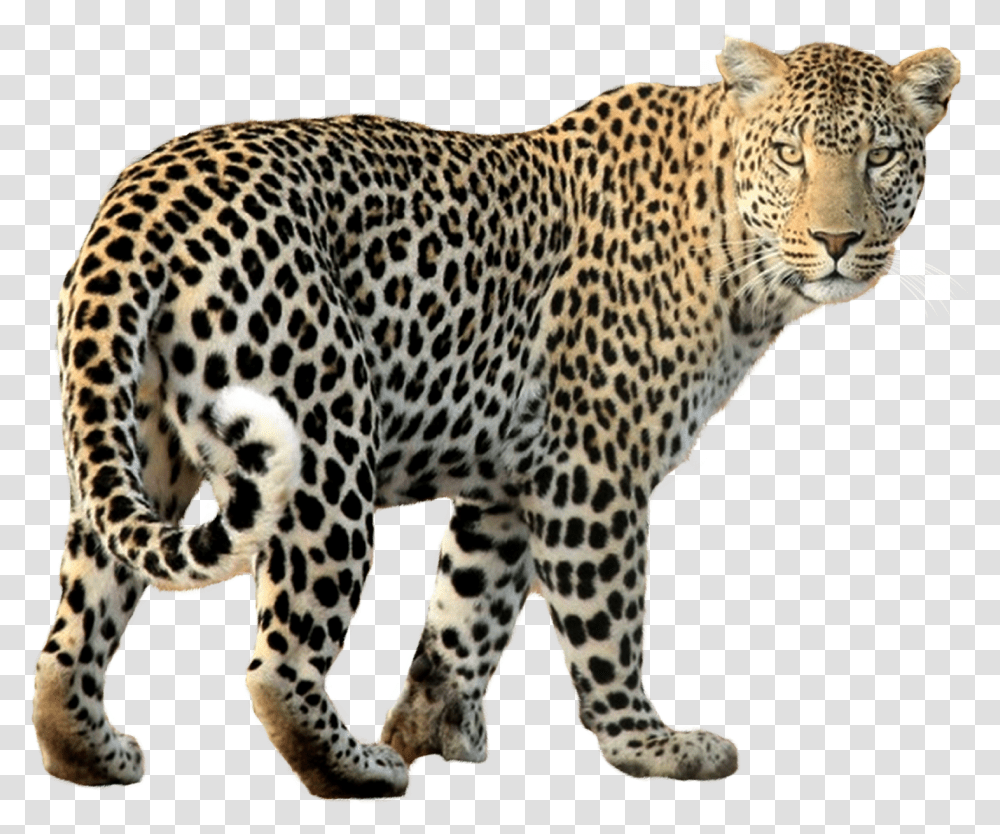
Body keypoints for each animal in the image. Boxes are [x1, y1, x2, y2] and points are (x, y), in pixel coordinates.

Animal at [34, 38, 959, 798]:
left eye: (880, 156)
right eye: (791, 154)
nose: (837, 241)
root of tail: (142, 199)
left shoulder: (511, 483)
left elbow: (465, 612)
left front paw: (433, 730)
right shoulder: (593, 469)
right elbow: (607, 622)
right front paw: (649, 746)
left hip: (133, 441)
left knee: (75, 626)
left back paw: (91, 754)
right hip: (323, 449)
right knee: (278, 662)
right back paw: (358, 770)